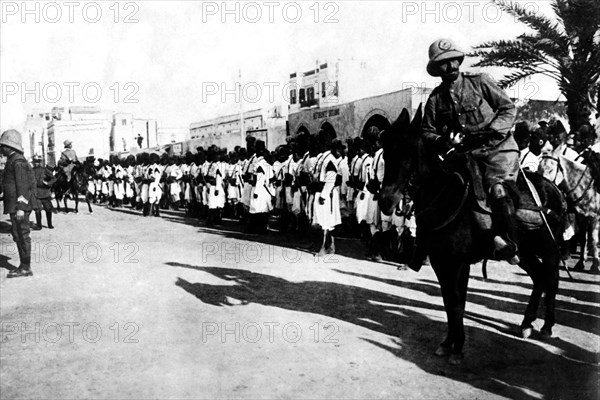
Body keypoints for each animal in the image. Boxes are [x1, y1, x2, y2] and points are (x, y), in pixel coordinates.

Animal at [380, 106, 568, 366]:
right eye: (386, 152)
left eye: (408, 152)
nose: (386, 202)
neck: (446, 196)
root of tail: (556, 190)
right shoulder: (441, 262)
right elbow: (449, 301)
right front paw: (448, 343)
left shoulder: (459, 263)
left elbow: (458, 302)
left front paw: (457, 347)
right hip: (524, 251)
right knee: (539, 276)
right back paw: (527, 323)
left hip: (549, 247)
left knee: (552, 278)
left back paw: (547, 325)